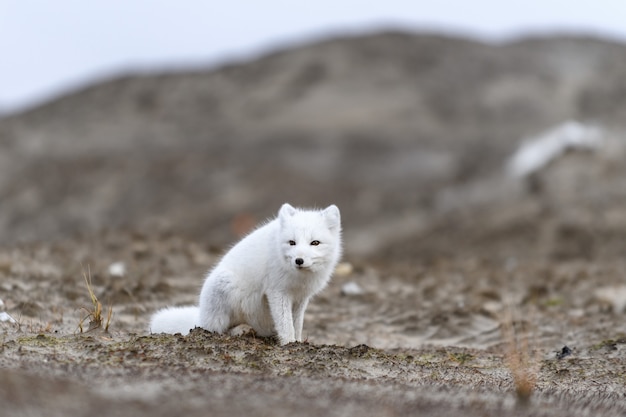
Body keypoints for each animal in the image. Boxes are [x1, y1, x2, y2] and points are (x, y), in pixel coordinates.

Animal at [148, 202, 338, 344]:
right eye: (292, 242)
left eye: (315, 243)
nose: (299, 260)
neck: (300, 279)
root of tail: (200, 316)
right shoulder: (277, 292)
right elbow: (286, 324)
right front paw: (290, 344)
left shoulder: (301, 298)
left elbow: (297, 324)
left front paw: (298, 342)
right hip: (223, 289)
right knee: (217, 331)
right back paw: (241, 330)